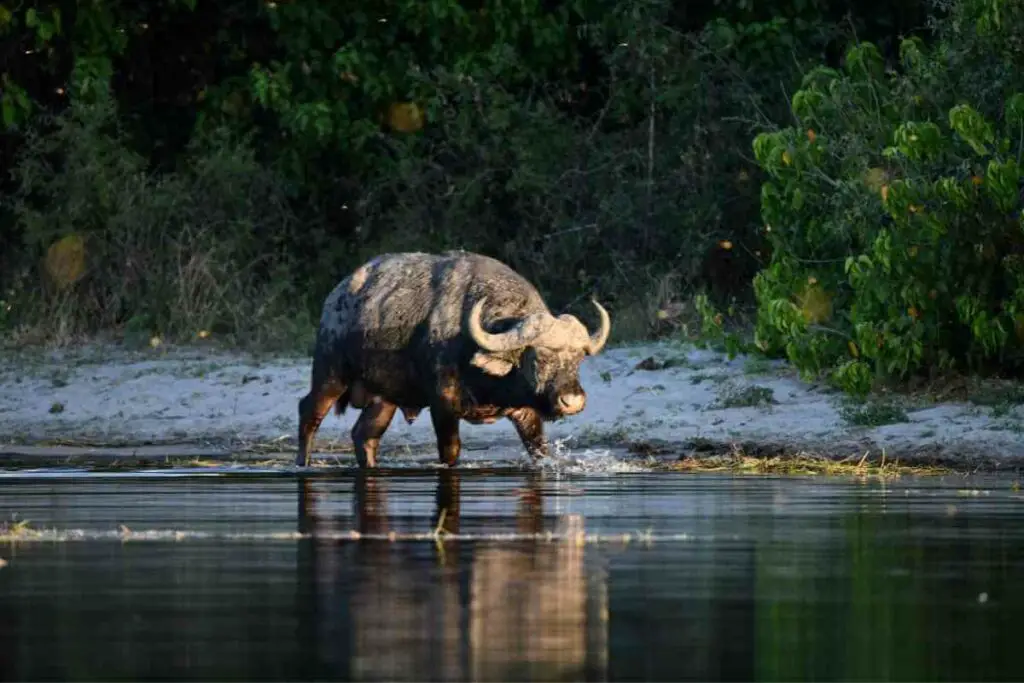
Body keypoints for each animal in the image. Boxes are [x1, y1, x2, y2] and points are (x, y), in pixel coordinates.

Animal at [299, 250, 610, 471]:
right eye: (540, 357)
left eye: (578, 359)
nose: (572, 401)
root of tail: (335, 298)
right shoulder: (443, 404)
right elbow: (450, 451)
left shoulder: (526, 410)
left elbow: (538, 447)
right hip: (331, 373)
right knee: (309, 412)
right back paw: (303, 463)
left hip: (384, 398)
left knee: (364, 436)